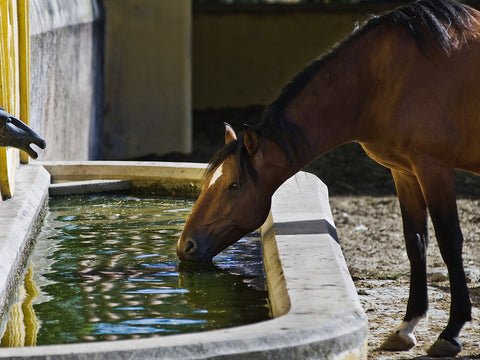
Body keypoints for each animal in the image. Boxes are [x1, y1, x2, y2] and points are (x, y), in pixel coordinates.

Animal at [178, 1, 480, 358]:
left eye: (234, 186)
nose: (186, 246)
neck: (383, 80)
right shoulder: (404, 171)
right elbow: (415, 241)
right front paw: (408, 326)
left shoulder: (434, 169)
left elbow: (450, 242)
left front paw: (451, 331)